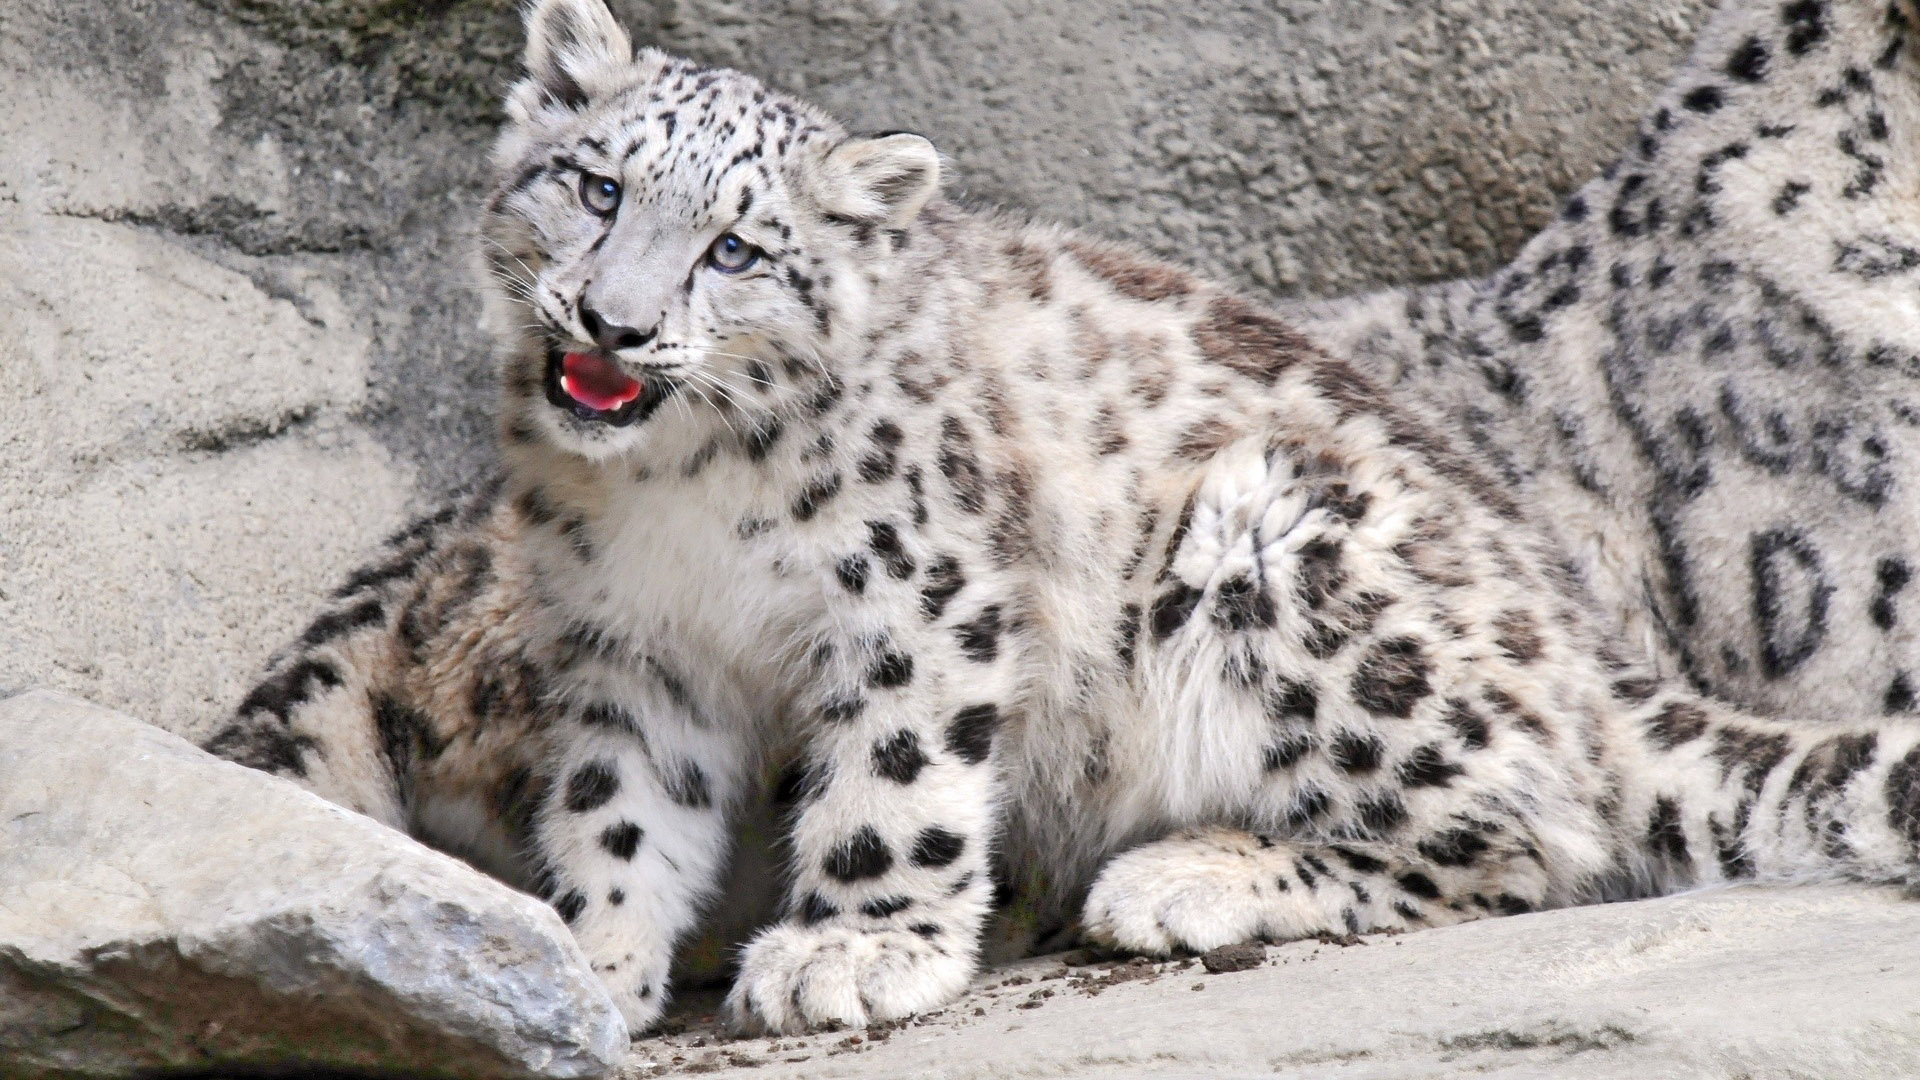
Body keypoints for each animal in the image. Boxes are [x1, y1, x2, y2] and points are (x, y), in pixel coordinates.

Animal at [206, 0, 1920, 1037]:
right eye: (596, 186)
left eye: (739, 251)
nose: (613, 324)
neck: (677, 499)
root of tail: (1573, 645)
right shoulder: (633, 652)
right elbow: (623, 809)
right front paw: (591, 958)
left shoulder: (918, 596)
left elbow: (894, 786)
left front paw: (850, 951)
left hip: (1279, 549)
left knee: (1529, 837)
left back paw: (1187, 879)